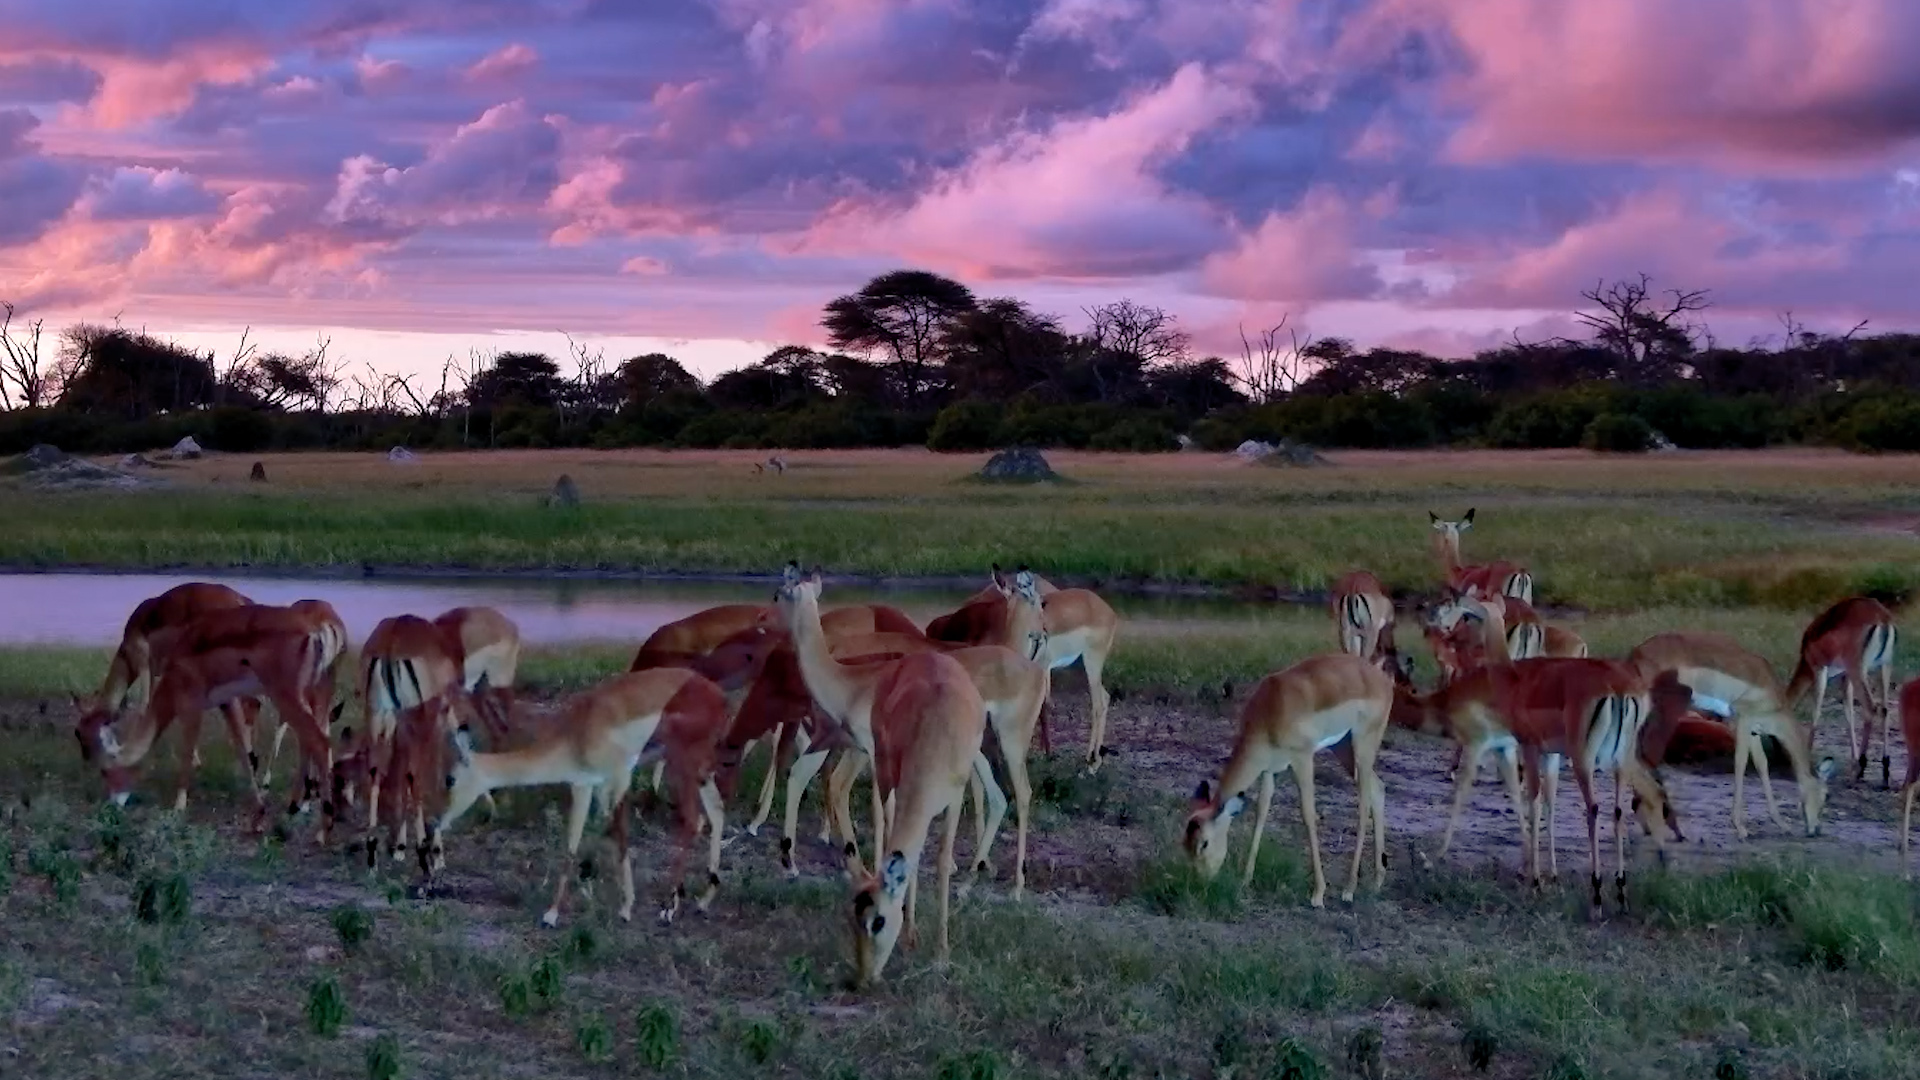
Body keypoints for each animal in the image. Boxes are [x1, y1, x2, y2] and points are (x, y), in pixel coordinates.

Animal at [424, 668, 733, 927]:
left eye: (449, 779)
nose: (435, 820)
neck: (575, 733)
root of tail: (720, 698)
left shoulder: (618, 776)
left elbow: (615, 833)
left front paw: (621, 908)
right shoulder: (586, 784)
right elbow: (581, 838)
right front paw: (564, 905)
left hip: (682, 762)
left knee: (693, 819)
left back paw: (669, 907)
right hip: (700, 770)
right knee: (717, 812)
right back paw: (704, 901)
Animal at [848, 650, 990, 988]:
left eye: (878, 921)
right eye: (852, 919)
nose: (863, 979)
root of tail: (928, 654)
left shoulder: (955, 797)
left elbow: (942, 861)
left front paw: (941, 955)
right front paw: (911, 934)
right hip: (883, 767)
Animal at [1183, 652, 1390, 908]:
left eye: (1204, 843)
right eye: (1185, 843)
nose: (1199, 883)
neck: (1272, 707)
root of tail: (1382, 678)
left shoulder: (1302, 759)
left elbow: (1308, 815)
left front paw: (1318, 894)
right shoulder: (1270, 769)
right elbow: (1261, 812)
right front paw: (1245, 880)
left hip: (1362, 747)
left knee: (1363, 804)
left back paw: (1349, 889)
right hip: (1343, 748)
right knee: (1378, 789)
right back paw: (1377, 881)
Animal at [1628, 631, 1835, 839]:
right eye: (1826, 795)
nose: (1816, 830)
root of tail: (1637, 652)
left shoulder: (1754, 730)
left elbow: (1762, 764)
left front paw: (1782, 824)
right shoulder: (1742, 720)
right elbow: (1740, 763)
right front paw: (1740, 827)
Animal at [1784, 596, 1898, 787]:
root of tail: (1882, 618)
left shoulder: (1819, 669)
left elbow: (1817, 711)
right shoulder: (1845, 677)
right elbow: (1848, 712)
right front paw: (1853, 761)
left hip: (1859, 669)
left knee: (1871, 708)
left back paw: (1861, 771)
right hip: (1884, 667)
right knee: (1884, 709)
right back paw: (1884, 773)